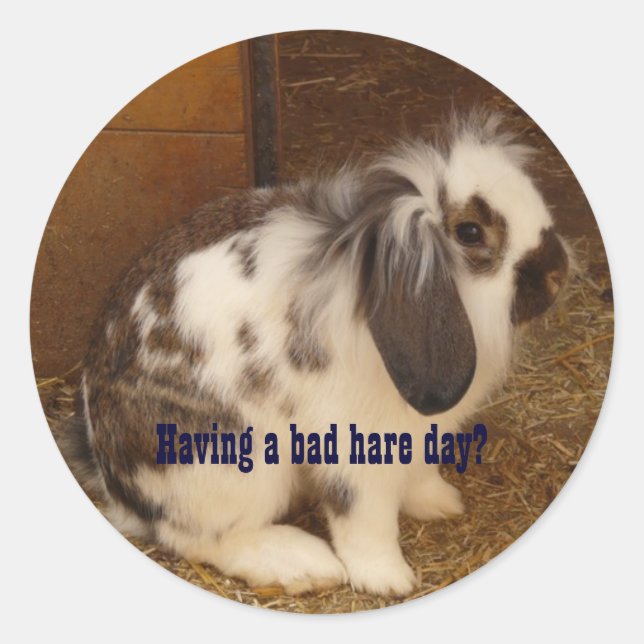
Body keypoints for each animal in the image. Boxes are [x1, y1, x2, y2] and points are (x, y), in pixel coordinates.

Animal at [60, 112, 569, 597]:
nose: (557, 274)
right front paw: (388, 580)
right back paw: (304, 565)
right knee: (200, 538)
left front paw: (441, 503)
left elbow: (420, 475)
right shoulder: (355, 451)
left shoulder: (418, 432)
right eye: (470, 232)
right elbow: (365, 521)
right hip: (229, 461)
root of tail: (112, 477)